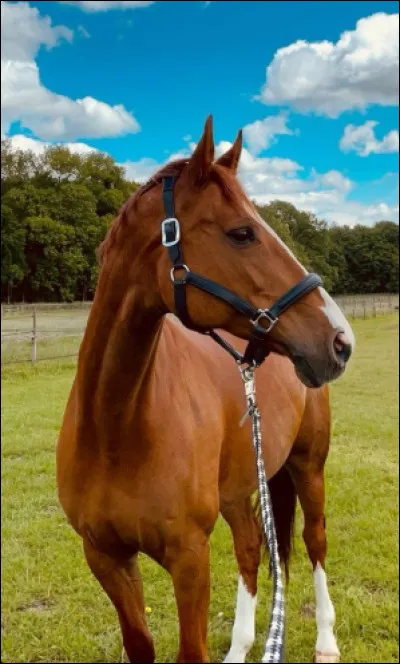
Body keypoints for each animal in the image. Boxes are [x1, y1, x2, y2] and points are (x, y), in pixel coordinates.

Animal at [56, 116, 355, 664]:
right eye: (242, 233)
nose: (340, 340)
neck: (116, 428)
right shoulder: (106, 556)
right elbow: (141, 645)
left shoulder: (189, 559)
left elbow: (189, 650)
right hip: (239, 488)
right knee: (253, 547)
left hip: (308, 466)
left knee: (315, 538)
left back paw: (326, 641)